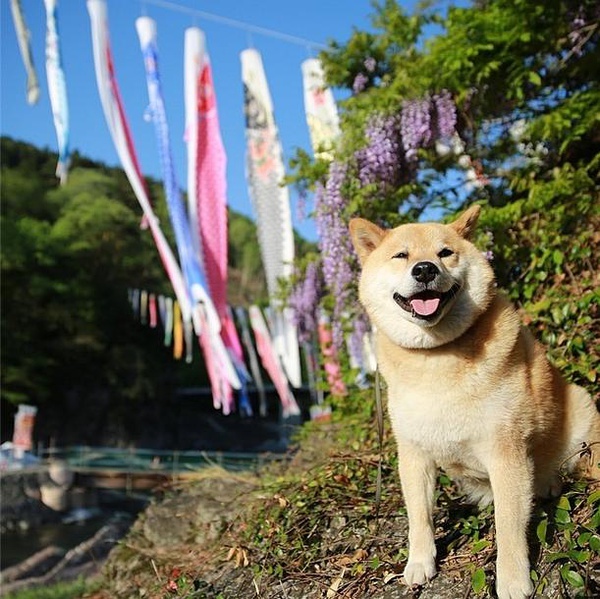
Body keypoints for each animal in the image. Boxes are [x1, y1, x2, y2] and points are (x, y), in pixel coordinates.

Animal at [350, 204, 596, 596]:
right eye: (401, 255)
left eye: (445, 252)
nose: (424, 269)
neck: (436, 358)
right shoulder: (414, 455)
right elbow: (419, 516)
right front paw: (419, 562)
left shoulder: (506, 453)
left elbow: (509, 527)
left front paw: (512, 580)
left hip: (582, 418)